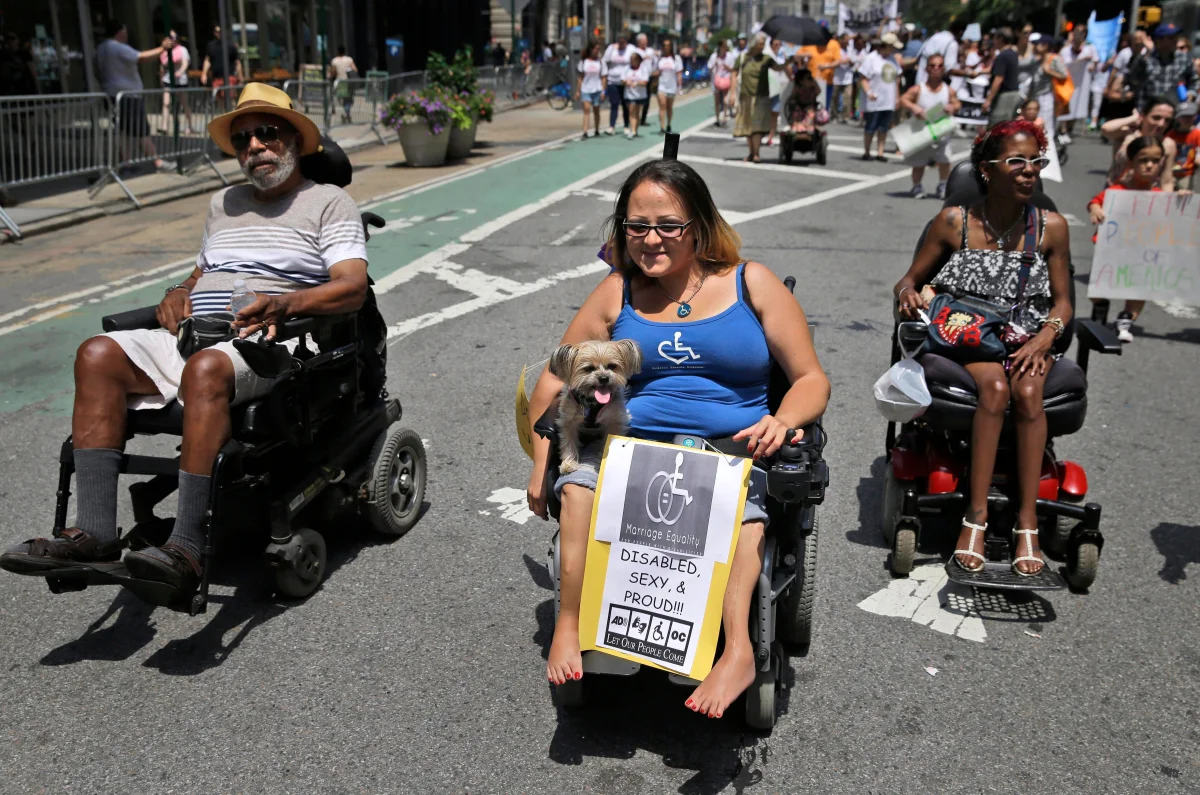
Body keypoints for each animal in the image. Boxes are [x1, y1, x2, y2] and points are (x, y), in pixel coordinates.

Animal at [549, 341, 643, 473]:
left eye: (612, 366)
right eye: (589, 368)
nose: (604, 378)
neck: (592, 400)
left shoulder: (614, 420)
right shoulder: (568, 420)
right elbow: (568, 441)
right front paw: (568, 464)